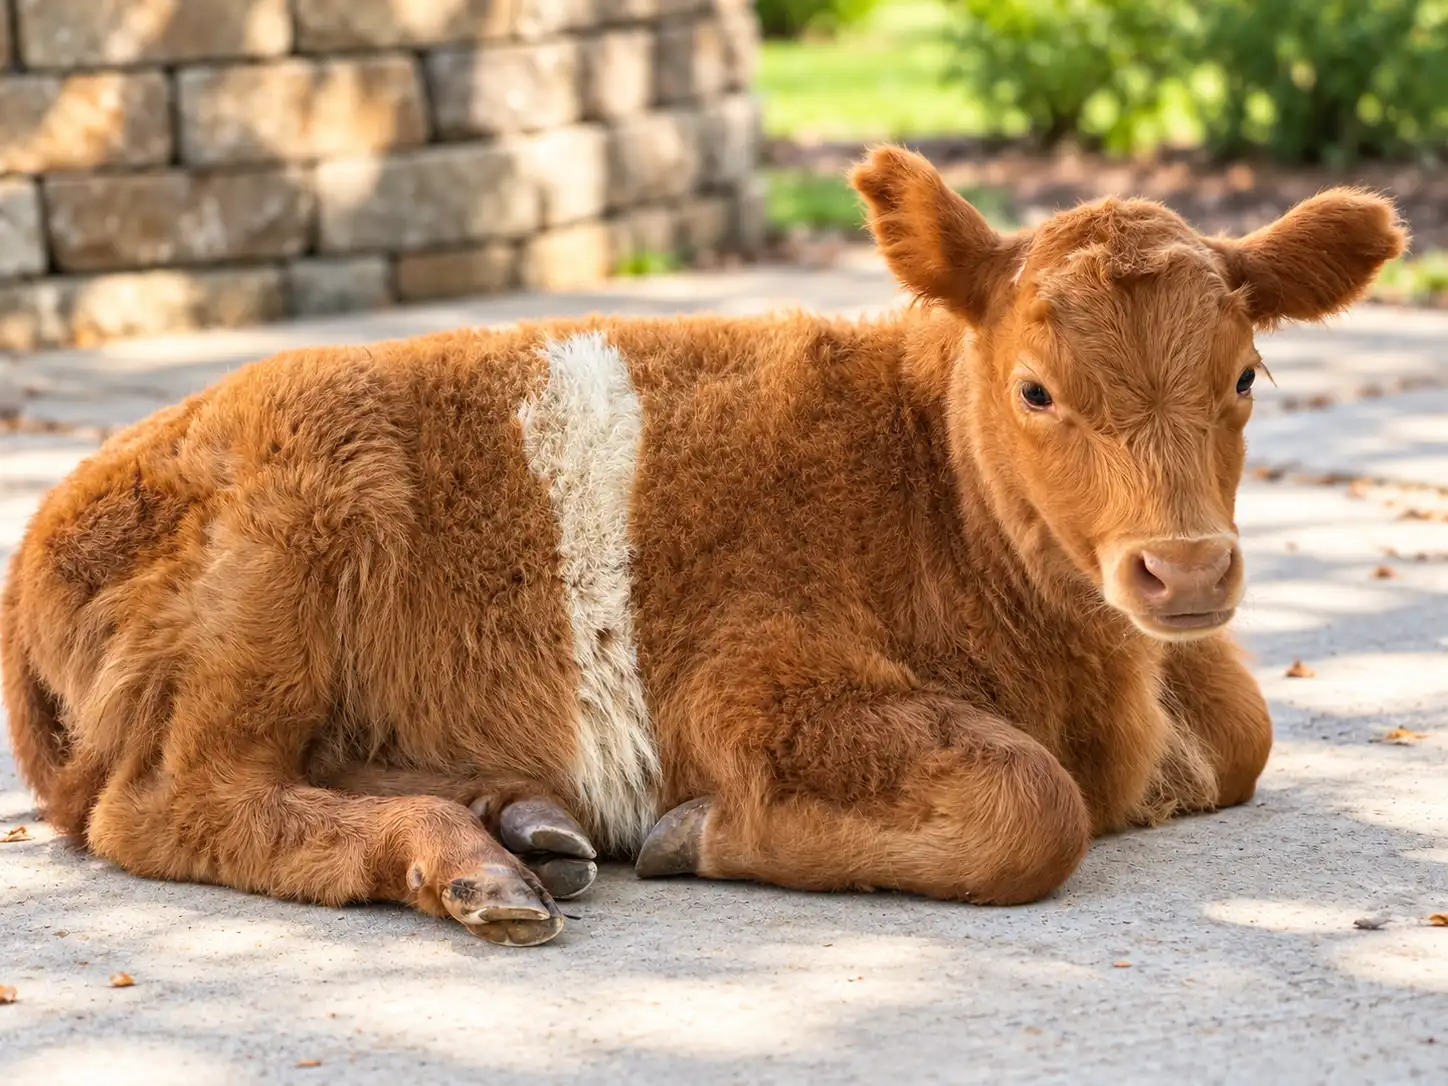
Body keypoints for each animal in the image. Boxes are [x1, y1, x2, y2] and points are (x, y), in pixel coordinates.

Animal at [1, 148, 1405, 946]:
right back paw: (470, 866)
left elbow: (1241, 732)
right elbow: (1032, 805)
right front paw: (693, 835)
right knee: (174, 803)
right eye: (1036, 390)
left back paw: (519, 822)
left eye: (1245, 374)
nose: (1185, 569)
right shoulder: (752, 681)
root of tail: (50, 535)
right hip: (280, 564)